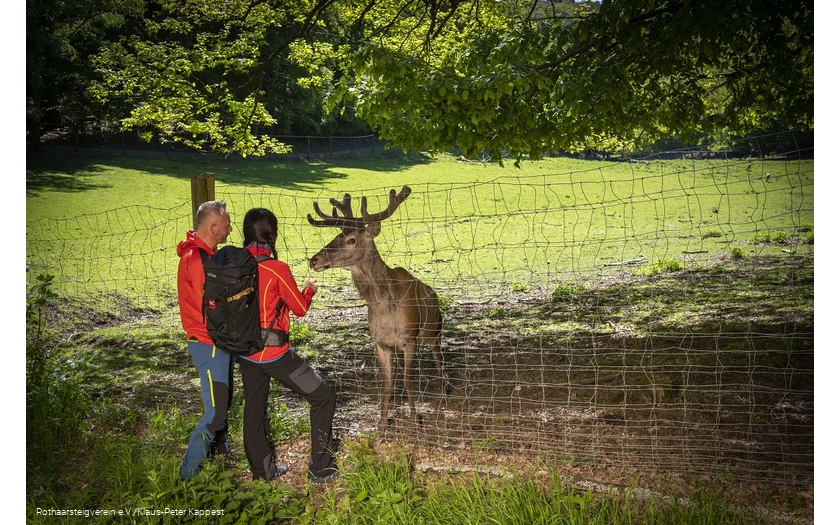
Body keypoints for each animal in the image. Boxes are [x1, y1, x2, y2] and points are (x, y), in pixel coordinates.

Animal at [307, 186, 446, 431]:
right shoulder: (380, 343)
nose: (313, 260)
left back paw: (443, 395)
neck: (385, 309)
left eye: (351, 239)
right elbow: (387, 382)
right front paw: (382, 424)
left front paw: (415, 420)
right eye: (336, 236)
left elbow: (408, 380)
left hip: (434, 331)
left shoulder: (410, 339)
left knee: (439, 361)